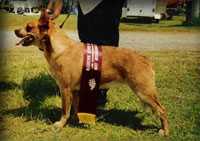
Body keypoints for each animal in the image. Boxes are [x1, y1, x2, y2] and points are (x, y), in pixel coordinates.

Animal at [14, 9, 169, 135]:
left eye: (29, 27)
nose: (15, 30)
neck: (60, 48)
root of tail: (145, 59)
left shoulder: (65, 89)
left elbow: (65, 110)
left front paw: (61, 124)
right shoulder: (76, 90)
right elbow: (75, 108)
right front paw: (75, 121)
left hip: (144, 92)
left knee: (162, 110)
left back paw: (165, 131)